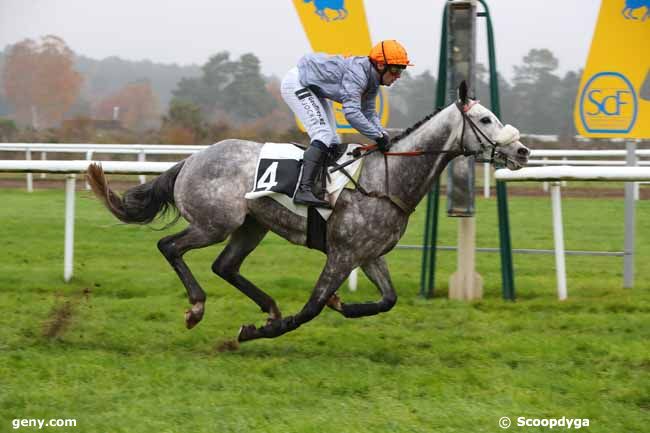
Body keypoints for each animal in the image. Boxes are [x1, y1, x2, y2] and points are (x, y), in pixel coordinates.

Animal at [87, 82, 532, 342]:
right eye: (484, 118)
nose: (523, 150)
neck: (386, 178)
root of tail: (192, 159)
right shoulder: (342, 253)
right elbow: (313, 306)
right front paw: (260, 330)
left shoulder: (369, 254)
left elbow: (387, 300)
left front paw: (339, 304)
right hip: (215, 223)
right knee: (170, 246)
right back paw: (198, 307)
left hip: (251, 226)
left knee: (224, 266)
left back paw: (266, 306)